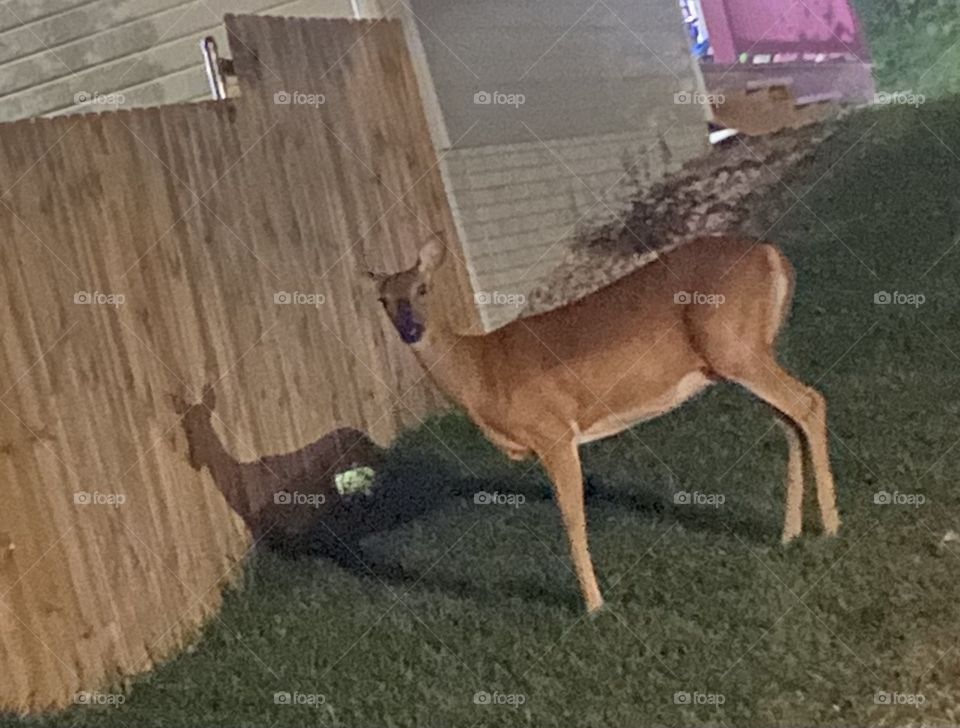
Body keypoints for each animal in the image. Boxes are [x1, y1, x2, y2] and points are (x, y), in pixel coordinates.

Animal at [367, 235, 840, 614]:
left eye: (423, 288)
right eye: (383, 300)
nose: (410, 329)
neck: (481, 373)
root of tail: (770, 254)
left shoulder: (553, 431)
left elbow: (572, 517)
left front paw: (594, 606)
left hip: (736, 350)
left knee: (809, 403)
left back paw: (831, 527)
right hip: (748, 354)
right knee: (788, 420)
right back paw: (789, 534)